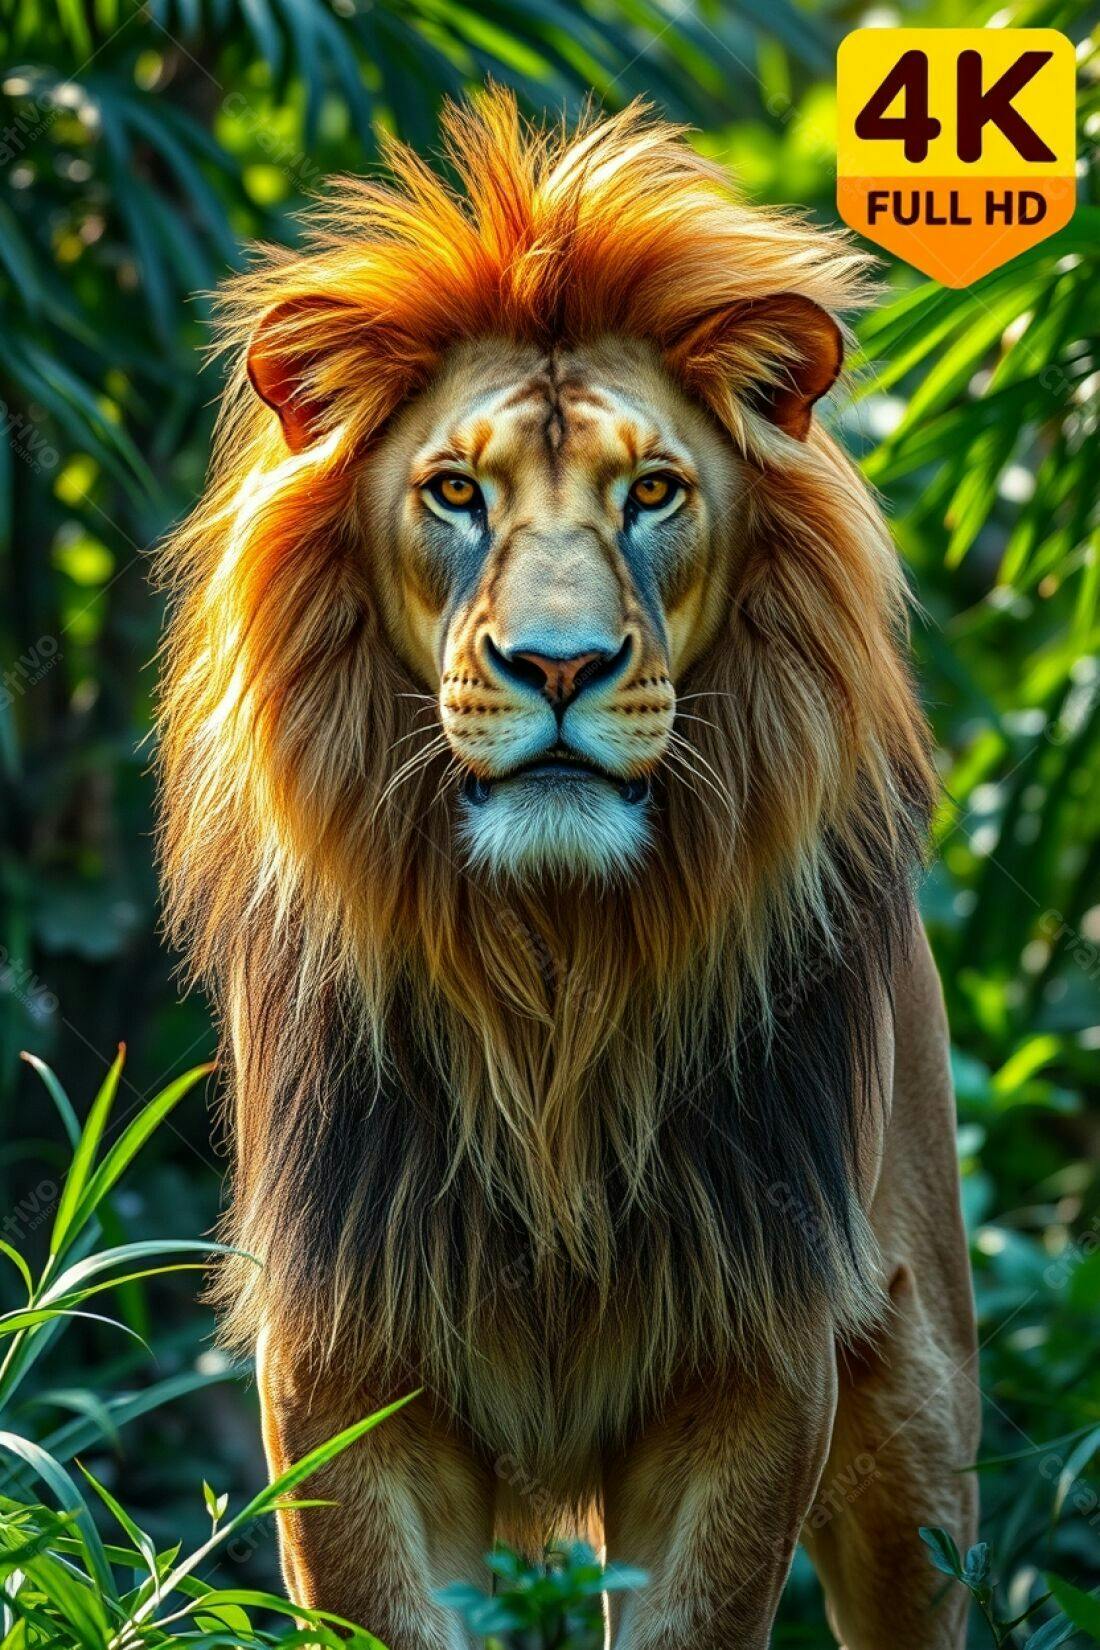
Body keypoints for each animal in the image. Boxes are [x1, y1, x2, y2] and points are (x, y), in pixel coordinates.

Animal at [158, 91, 979, 1650]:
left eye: (652, 491)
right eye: (454, 493)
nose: (557, 664)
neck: (551, 978)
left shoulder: (753, 1357)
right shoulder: (346, 1359)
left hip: (915, 1405)